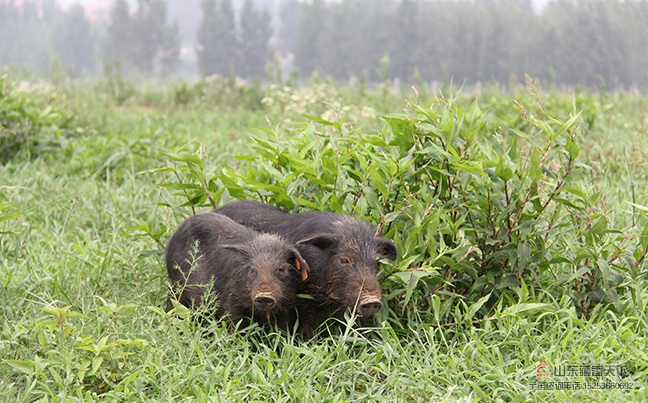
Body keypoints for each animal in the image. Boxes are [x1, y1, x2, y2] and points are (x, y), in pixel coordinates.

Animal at [166, 213, 310, 330]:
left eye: (281, 269)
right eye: (252, 269)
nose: (264, 295)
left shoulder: (287, 305)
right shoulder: (231, 299)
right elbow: (234, 325)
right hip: (176, 287)